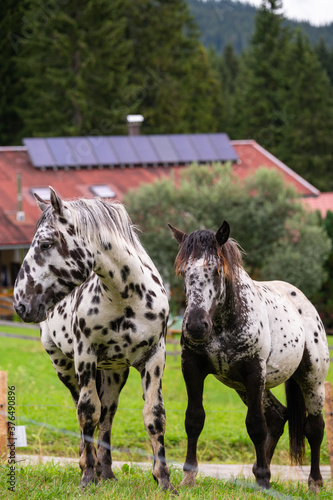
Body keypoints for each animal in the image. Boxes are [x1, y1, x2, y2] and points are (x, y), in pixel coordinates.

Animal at [13, 188, 176, 492]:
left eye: (46, 244)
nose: (21, 304)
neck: (126, 297)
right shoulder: (85, 356)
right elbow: (88, 412)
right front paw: (87, 476)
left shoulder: (155, 358)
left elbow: (154, 416)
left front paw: (164, 480)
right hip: (65, 368)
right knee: (84, 408)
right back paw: (89, 466)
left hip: (115, 372)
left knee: (108, 414)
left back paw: (107, 471)